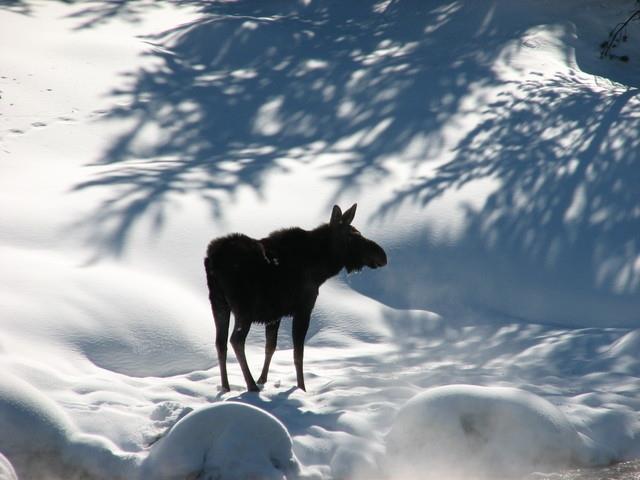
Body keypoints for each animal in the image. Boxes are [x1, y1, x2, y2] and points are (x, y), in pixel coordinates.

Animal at [204, 204, 384, 392]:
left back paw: (226, 387)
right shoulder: (304, 308)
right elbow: (298, 353)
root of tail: (212, 259)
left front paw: (263, 380)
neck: (322, 268)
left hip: (218, 303)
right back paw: (251, 385)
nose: (382, 255)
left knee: (220, 343)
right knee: (236, 340)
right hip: (244, 308)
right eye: (352, 236)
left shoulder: (274, 314)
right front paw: (301, 388)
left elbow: (270, 347)